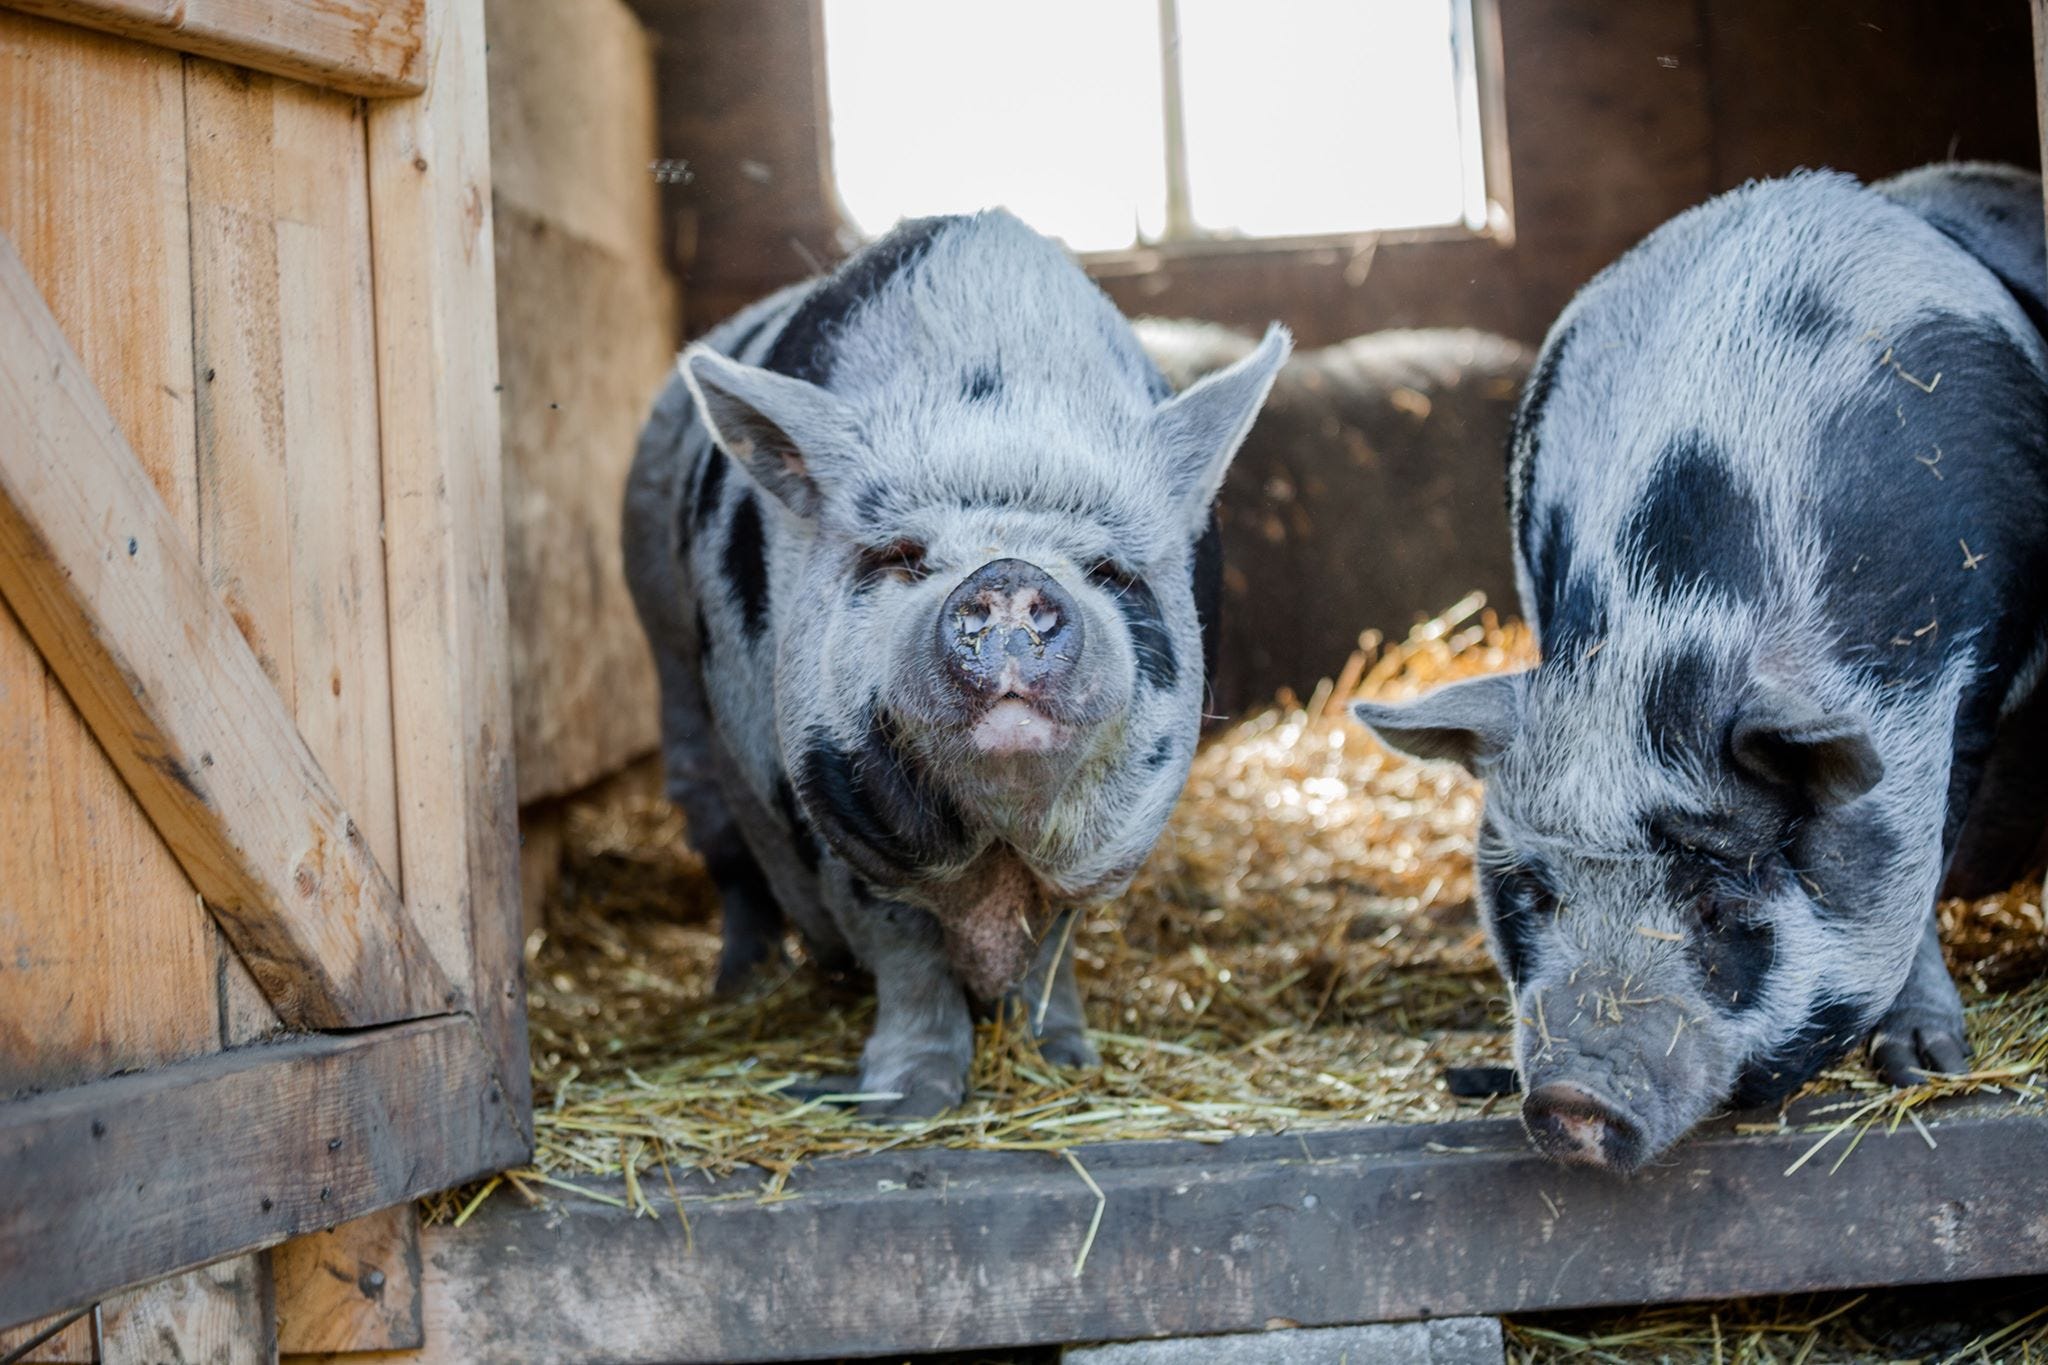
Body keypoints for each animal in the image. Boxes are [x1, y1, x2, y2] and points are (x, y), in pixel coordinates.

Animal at [623, 211, 1288, 1115]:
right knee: (723, 846)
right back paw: (739, 987)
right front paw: (912, 1098)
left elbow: (1054, 942)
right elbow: (902, 947)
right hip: (666, 652)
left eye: (1109, 568)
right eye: (902, 555)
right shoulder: (828, 813)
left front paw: (1065, 1060)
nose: (1006, 576)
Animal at [1352, 163, 2048, 1172]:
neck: (1664, 634)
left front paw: (1922, 1064)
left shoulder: (1958, 692)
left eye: (1719, 905)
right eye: (1537, 891)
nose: (1572, 1099)